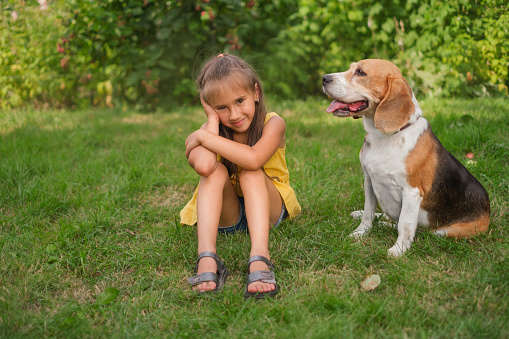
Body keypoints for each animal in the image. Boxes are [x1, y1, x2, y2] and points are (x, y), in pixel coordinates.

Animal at [322, 59, 488, 258]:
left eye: (360, 72)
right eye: (350, 68)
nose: (324, 78)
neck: (383, 137)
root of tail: (488, 211)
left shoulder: (412, 192)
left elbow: (405, 224)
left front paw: (399, 249)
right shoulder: (369, 181)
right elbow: (368, 213)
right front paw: (360, 233)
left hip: (444, 232)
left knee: (415, 228)